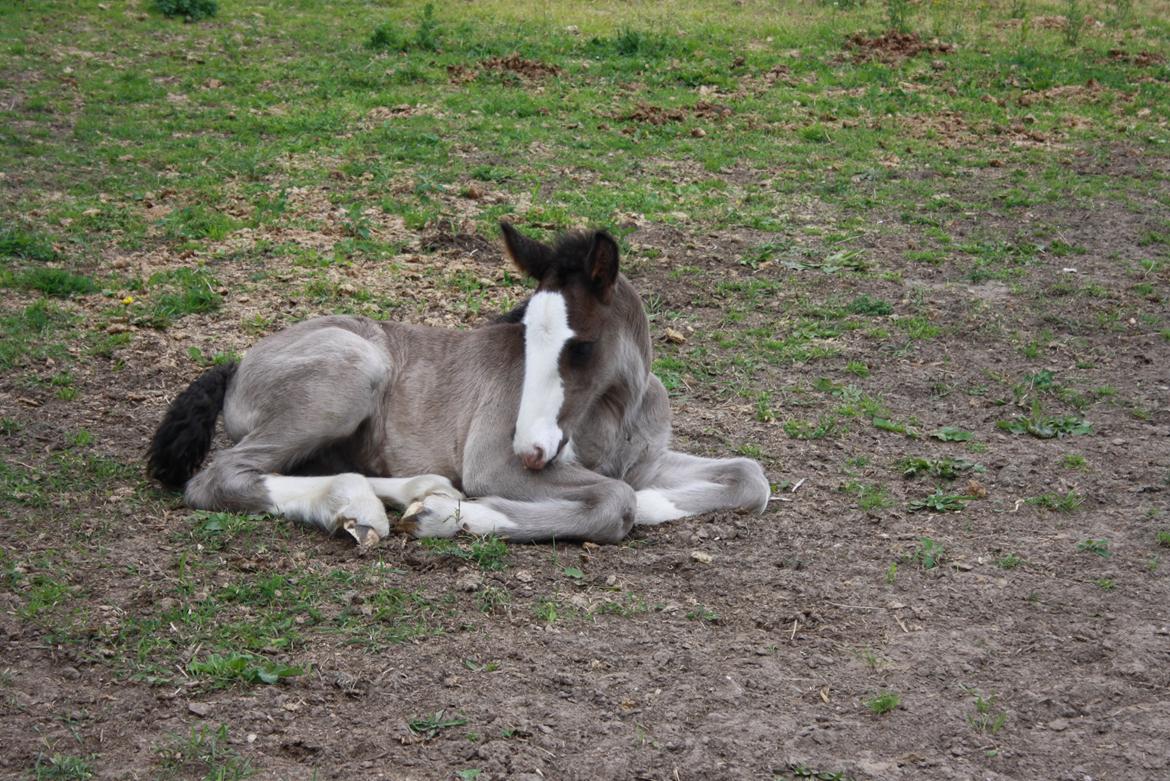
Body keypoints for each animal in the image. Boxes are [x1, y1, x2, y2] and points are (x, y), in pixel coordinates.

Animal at [148, 222, 767, 547]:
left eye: (581, 345)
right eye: (524, 335)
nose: (530, 449)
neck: (617, 412)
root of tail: (238, 362)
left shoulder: (644, 459)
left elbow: (749, 477)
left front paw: (659, 501)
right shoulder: (494, 464)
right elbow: (616, 500)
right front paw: (454, 517)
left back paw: (411, 492)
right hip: (353, 371)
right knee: (221, 477)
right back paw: (371, 508)